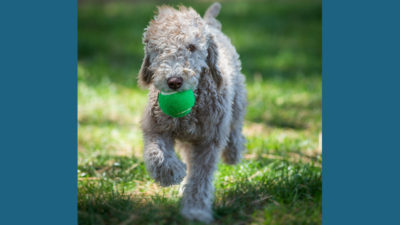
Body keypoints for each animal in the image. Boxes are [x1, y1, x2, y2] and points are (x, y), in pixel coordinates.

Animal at [138, 2, 247, 223]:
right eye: (158, 49)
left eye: (191, 47)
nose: (174, 81)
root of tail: (210, 23)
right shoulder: (156, 127)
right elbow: (156, 155)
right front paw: (172, 173)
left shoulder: (209, 140)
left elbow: (200, 177)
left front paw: (195, 211)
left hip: (237, 99)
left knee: (235, 126)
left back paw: (233, 152)